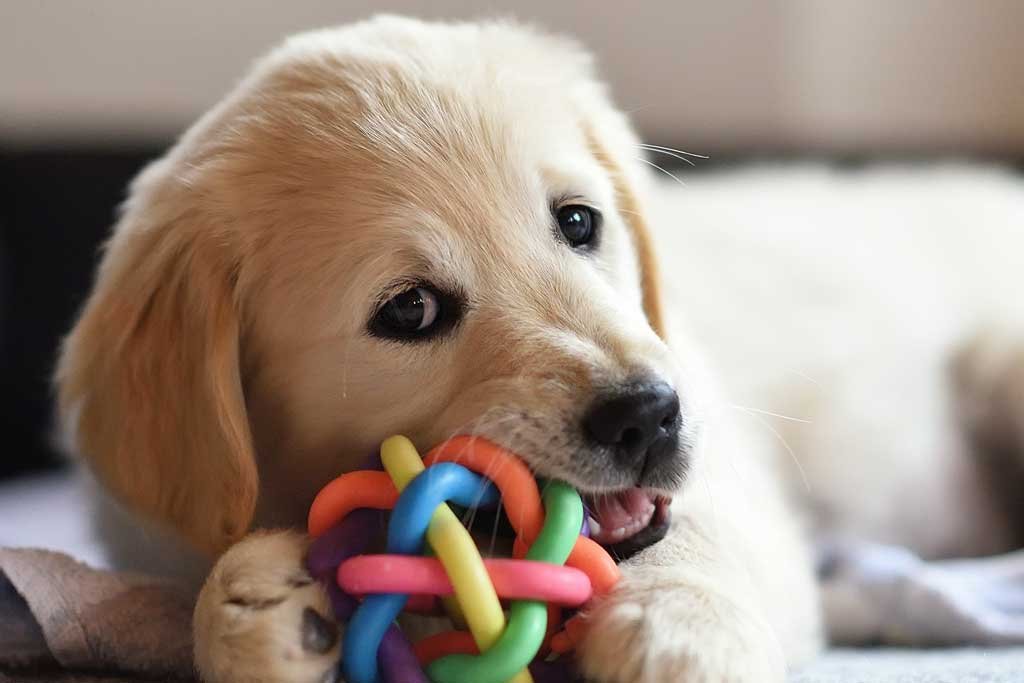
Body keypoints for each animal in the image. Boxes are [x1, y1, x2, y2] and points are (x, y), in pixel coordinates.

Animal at [59, 13, 1024, 679]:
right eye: (410, 309)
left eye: (578, 221)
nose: (650, 418)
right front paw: (257, 604)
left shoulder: (731, 471)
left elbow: (697, 535)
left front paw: (682, 630)